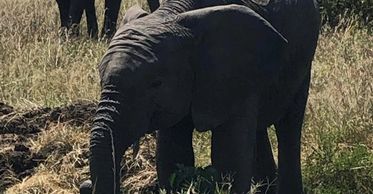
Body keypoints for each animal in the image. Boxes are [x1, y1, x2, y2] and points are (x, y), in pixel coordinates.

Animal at [80, 0, 318, 193]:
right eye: (101, 81)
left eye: (156, 84)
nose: (86, 185)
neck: (170, 15)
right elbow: (172, 155)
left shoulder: (231, 70)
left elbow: (228, 158)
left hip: (304, 62)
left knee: (289, 127)